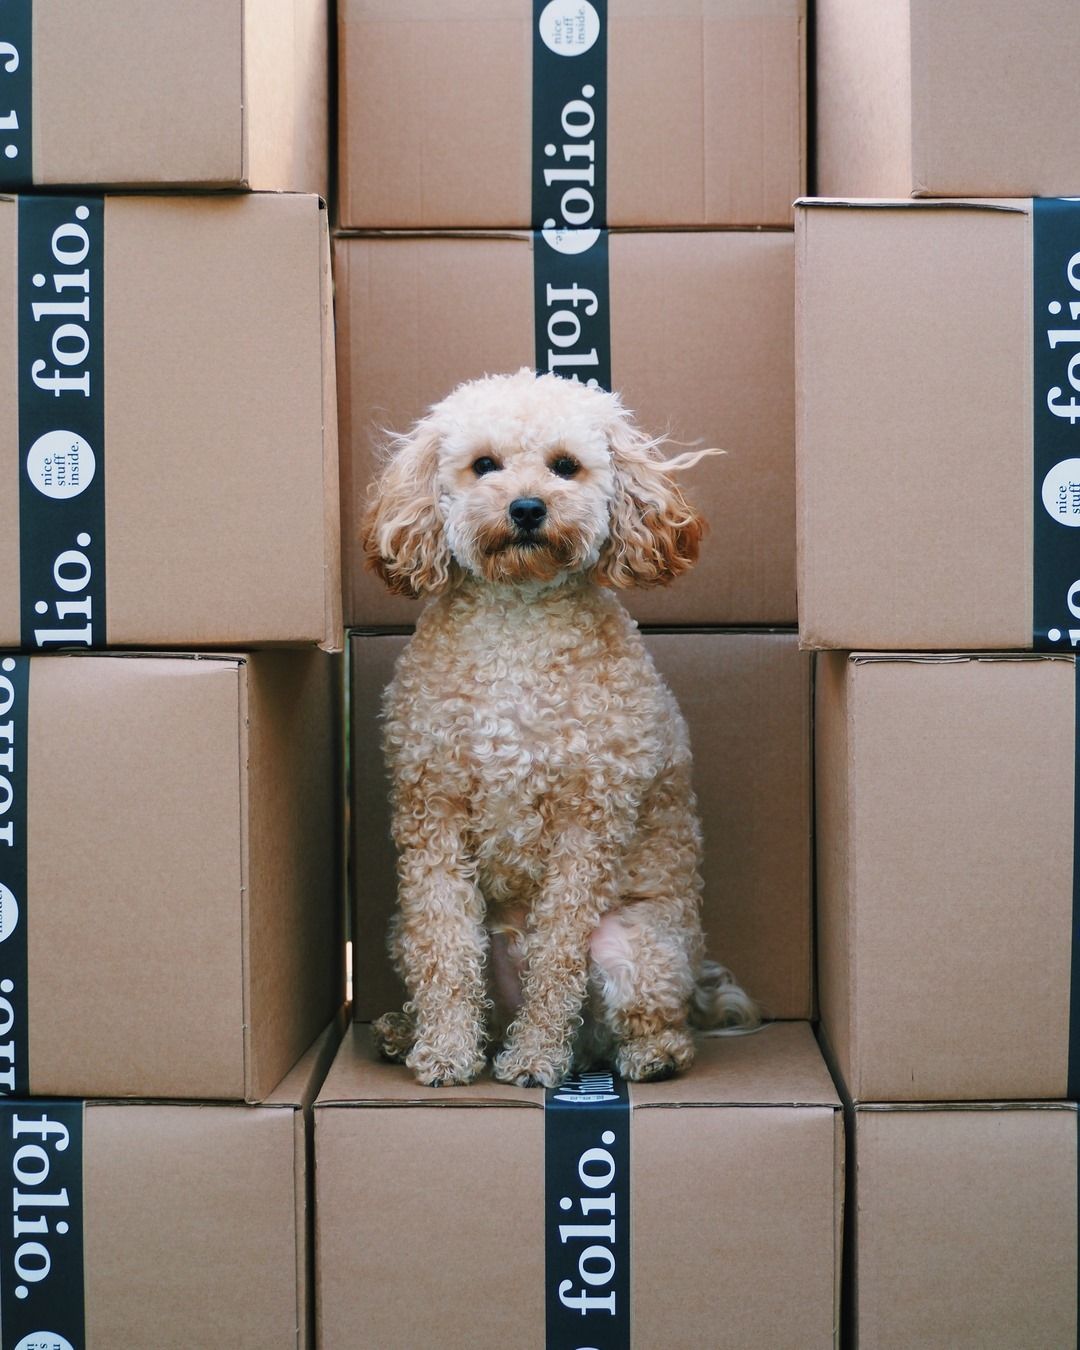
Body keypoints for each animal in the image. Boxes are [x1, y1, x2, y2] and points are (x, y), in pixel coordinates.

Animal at [361, 367, 761, 1085]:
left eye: (565, 466)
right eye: (484, 465)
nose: (526, 508)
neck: (518, 620)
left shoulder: (588, 822)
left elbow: (556, 960)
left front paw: (533, 1061)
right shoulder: (432, 810)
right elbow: (445, 949)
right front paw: (444, 1051)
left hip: (638, 950)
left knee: (646, 1021)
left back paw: (647, 1055)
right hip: (398, 928)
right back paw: (407, 1032)